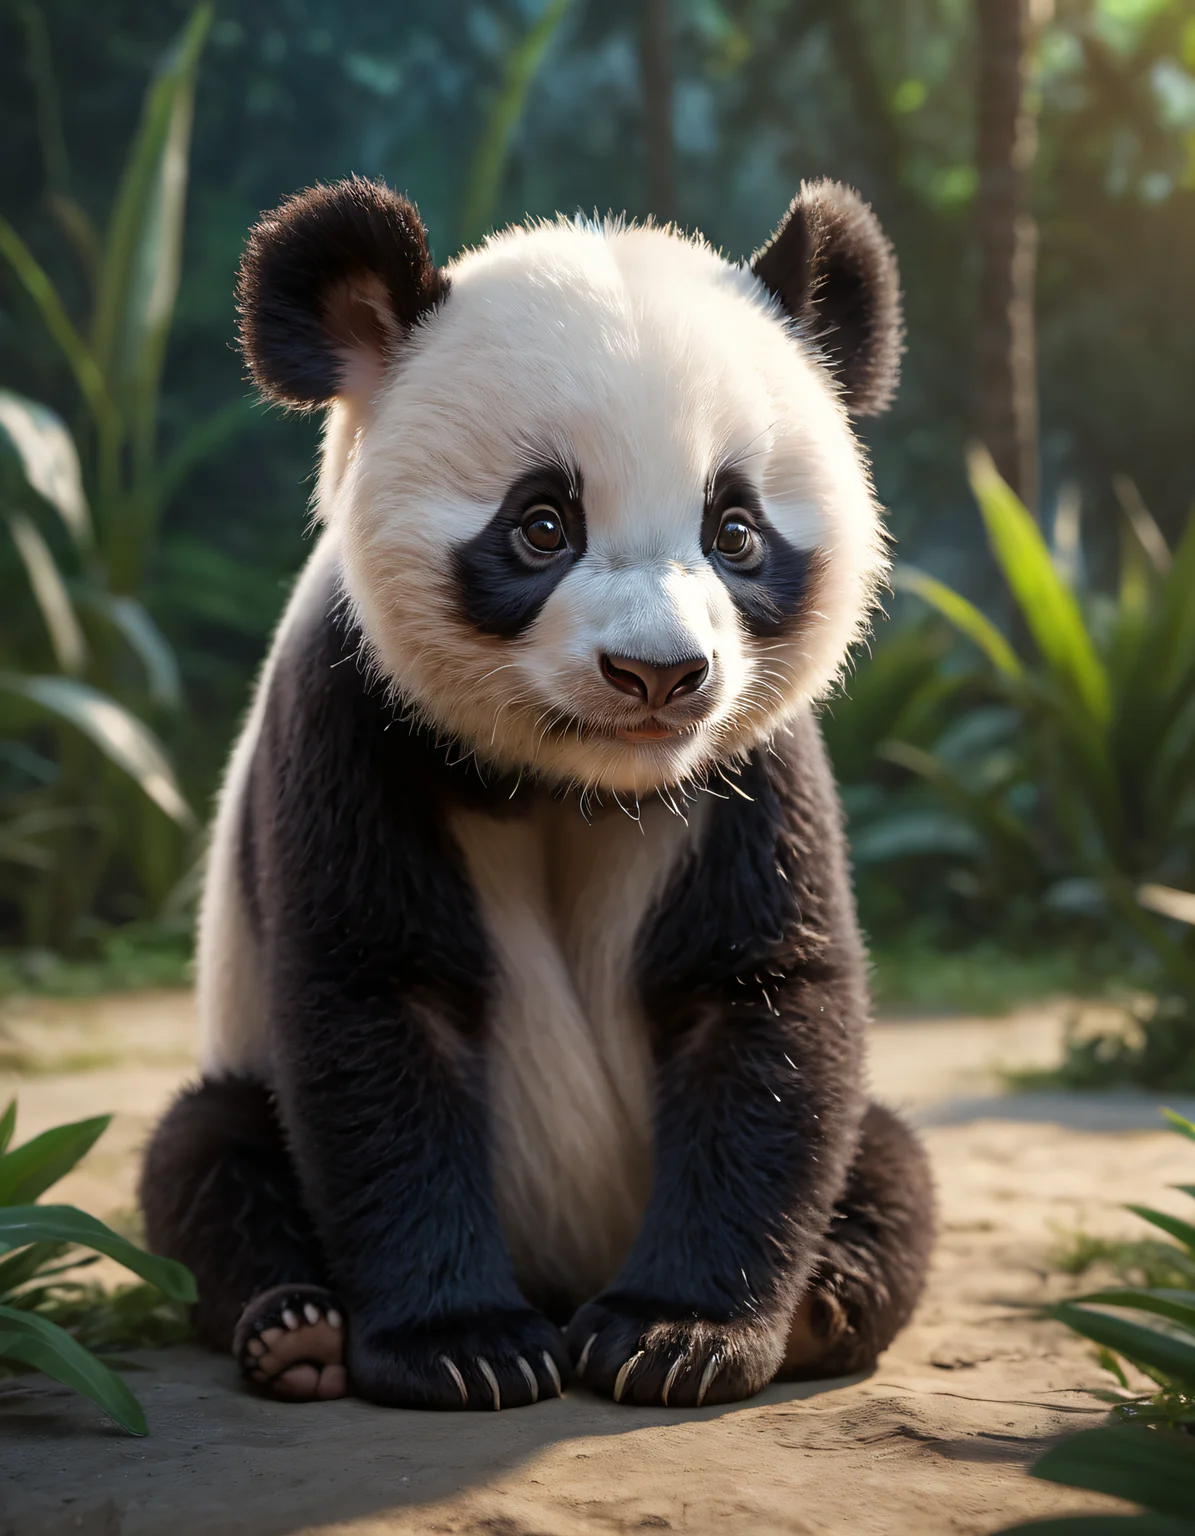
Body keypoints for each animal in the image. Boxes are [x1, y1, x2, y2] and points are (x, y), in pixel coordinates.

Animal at [140, 175, 935, 1411]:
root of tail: (566, 1270)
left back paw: (825, 1303)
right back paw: (298, 1331)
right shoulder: (355, 715)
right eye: (542, 525)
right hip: (237, 1072)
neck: (578, 780)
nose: (658, 673)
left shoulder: (745, 771)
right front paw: (462, 1346)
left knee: (887, 1155)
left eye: (735, 531)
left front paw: (676, 1338)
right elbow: (375, 1003)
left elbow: (763, 998)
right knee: (204, 1152)